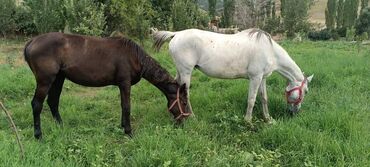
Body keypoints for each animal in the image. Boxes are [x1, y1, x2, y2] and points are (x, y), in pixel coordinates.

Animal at [23, 32, 191, 139]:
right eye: (183, 102)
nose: (183, 122)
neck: (134, 57)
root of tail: (31, 42)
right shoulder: (125, 83)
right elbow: (127, 106)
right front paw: (129, 132)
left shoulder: (121, 85)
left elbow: (122, 105)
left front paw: (123, 126)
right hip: (45, 81)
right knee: (37, 104)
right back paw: (38, 135)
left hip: (58, 78)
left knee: (53, 101)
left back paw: (61, 126)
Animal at [152, 28, 314, 123]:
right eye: (305, 91)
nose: (295, 112)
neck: (270, 50)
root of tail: (176, 34)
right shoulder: (255, 78)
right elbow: (251, 100)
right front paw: (247, 121)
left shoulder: (262, 78)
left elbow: (264, 98)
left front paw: (268, 118)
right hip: (186, 71)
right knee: (185, 93)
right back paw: (191, 116)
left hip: (180, 71)